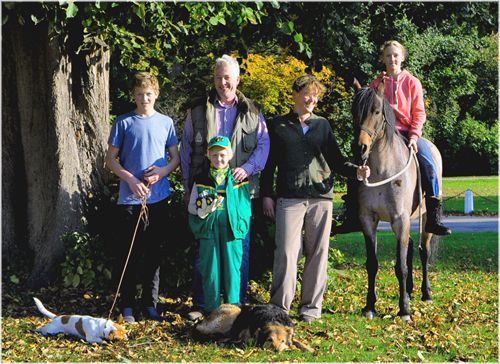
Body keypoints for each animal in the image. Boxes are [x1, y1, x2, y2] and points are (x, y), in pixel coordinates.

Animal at [352, 79, 442, 322]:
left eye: (376, 111)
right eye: (354, 112)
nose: (360, 148)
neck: (382, 170)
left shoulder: (400, 220)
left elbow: (401, 265)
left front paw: (404, 310)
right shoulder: (368, 220)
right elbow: (372, 264)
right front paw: (370, 306)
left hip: (424, 219)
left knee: (423, 251)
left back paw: (426, 293)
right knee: (410, 247)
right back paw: (409, 290)